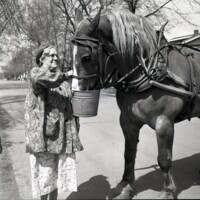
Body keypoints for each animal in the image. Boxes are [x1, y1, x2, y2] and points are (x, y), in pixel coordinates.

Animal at [71, 7, 200, 199]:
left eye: (86, 57)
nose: (76, 91)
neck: (147, 71)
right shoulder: (127, 120)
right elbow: (129, 154)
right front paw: (125, 186)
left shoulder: (164, 122)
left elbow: (164, 159)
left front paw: (168, 190)